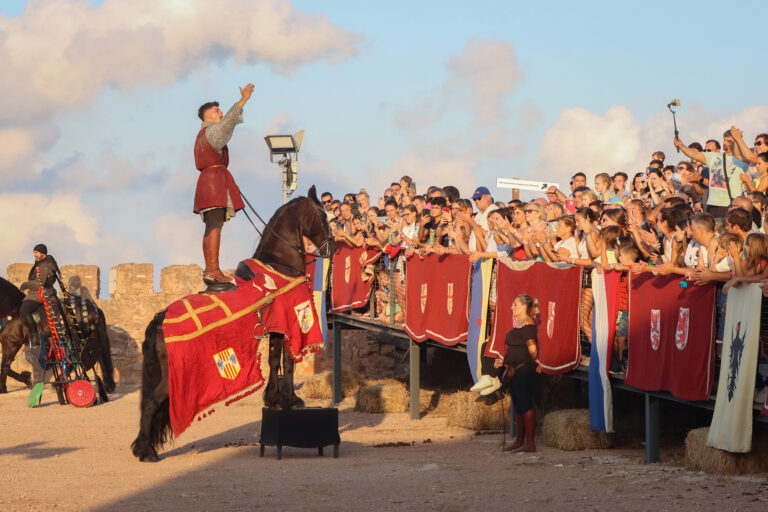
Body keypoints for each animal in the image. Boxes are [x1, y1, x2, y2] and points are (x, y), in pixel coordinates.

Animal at [131, 186, 332, 462]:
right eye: (323, 215)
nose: (331, 247)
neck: (280, 264)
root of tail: (159, 318)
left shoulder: (276, 329)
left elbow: (274, 360)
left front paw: (274, 399)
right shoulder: (292, 322)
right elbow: (289, 362)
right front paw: (291, 400)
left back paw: (142, 447)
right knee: (151, 401)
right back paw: (147, 451)